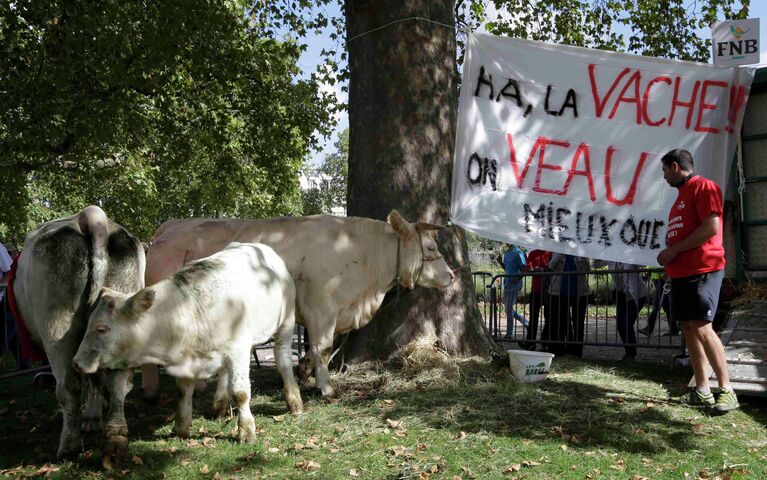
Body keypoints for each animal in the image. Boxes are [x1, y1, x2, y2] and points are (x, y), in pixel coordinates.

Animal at [73, 242, 304, 444]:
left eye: (101, 328)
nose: (76, 363)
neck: (190, 311)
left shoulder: (237, 350)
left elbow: (240, 393)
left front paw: (246, 432)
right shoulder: (191, 359)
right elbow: (184, 391)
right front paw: (181, 428)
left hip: (285, 324)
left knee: (283, 361)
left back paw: (294, 402)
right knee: (223, 374)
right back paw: (218, 406)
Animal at [142, 211, 456, 402]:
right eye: (430, 247)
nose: (452, 275)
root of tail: (172, 226)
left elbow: (320, 349)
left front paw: (305, 372)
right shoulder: (321, 309)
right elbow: (324, 348)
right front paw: (326, 388)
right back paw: (152, 391)